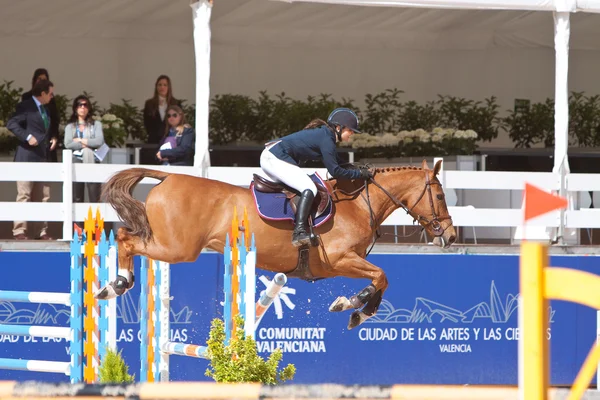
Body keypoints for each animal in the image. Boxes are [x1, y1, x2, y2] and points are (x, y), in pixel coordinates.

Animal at [96, 158, 458, 330]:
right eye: (440, 196)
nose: (452, 236)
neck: (357, 204)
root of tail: (168, 176)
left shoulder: (348, 262)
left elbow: (382, 280)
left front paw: (360, 313)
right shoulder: (340, 259)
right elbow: (381, 276)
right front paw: (351, 304)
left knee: (126, 236)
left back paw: (114, 285)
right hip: (176, 247)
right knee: (125, 238)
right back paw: (116, 284)